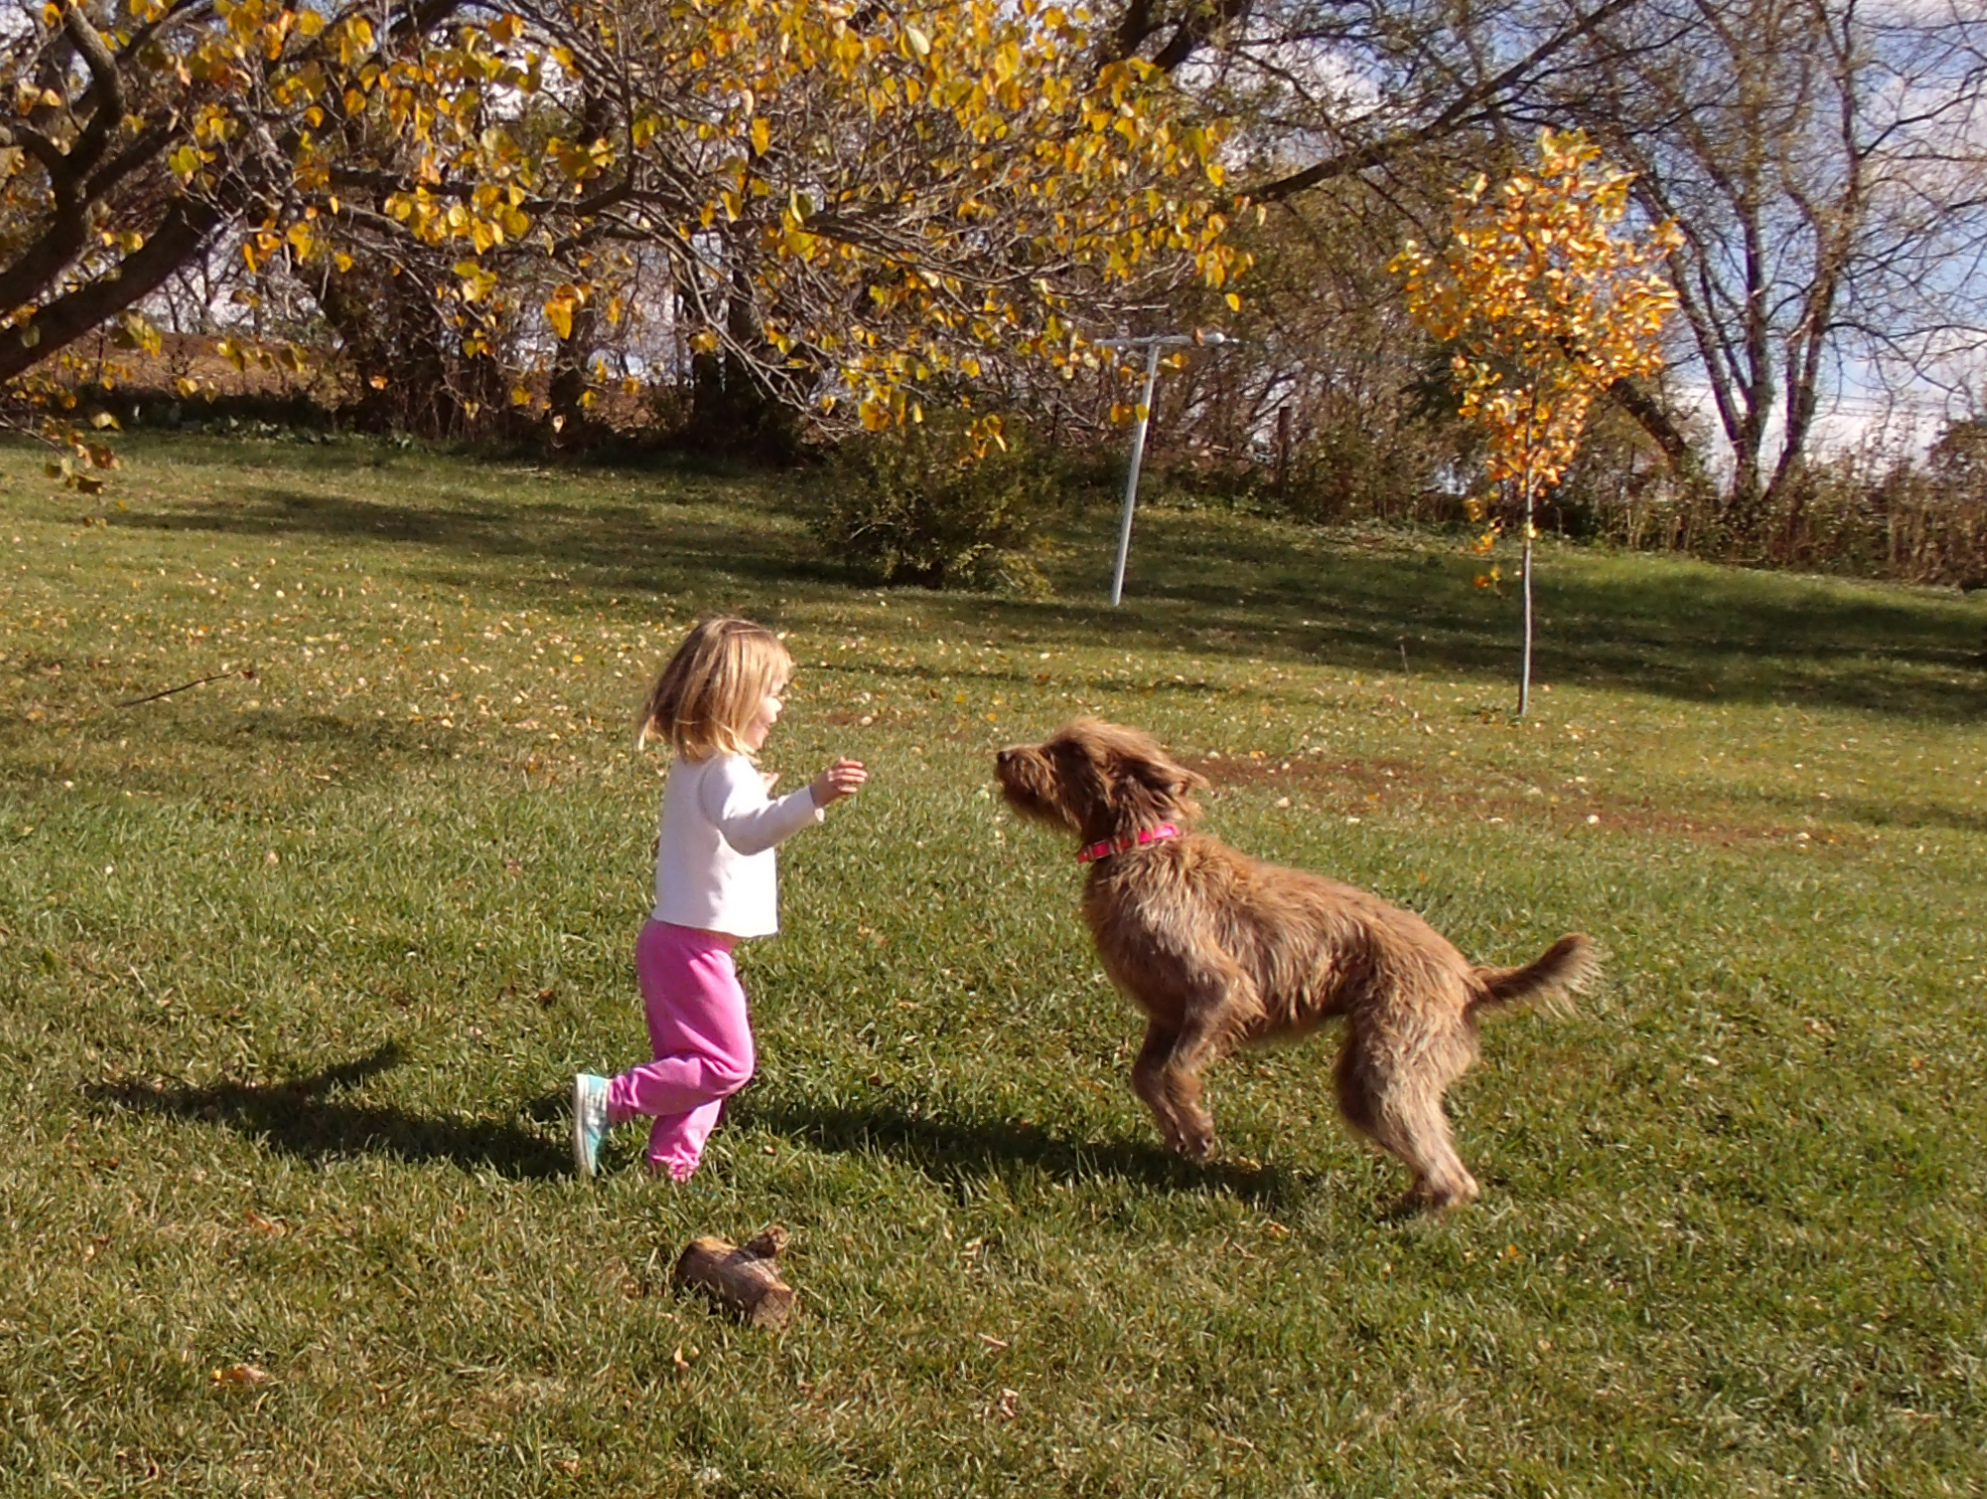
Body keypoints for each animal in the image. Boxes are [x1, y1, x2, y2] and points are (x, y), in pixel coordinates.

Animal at [994, 718, 1596, 1210]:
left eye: (1071, 749)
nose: (1002, 754)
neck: (1138, 848)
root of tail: (1471, 979)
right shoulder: (1168, 1014)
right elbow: (1146, 1076)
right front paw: (1180, 1136)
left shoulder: (1219, 990)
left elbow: (1176, 1071)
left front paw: (1198, 1129)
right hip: (1364, 1080)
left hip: (1389, 1065)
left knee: (1453, 1173)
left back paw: (1415, 1217)